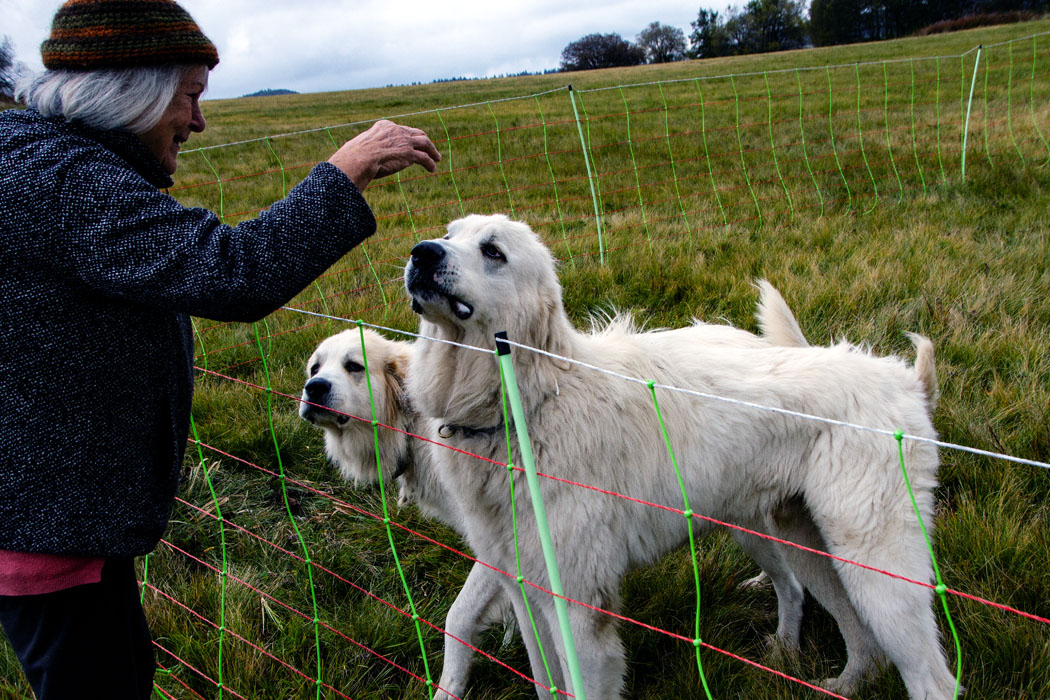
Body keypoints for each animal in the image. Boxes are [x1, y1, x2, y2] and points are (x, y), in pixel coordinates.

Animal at [403, 214, 954, 700]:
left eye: (493, 251)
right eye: (449, 235)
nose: (421, 253)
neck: (528, 406)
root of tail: (904, 380)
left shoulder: (582, 611)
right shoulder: (525, 593)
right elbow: (545, 685)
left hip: (879, 568)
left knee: (933, 680)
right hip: (806, 542)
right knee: (856, 633)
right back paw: (842, 682)